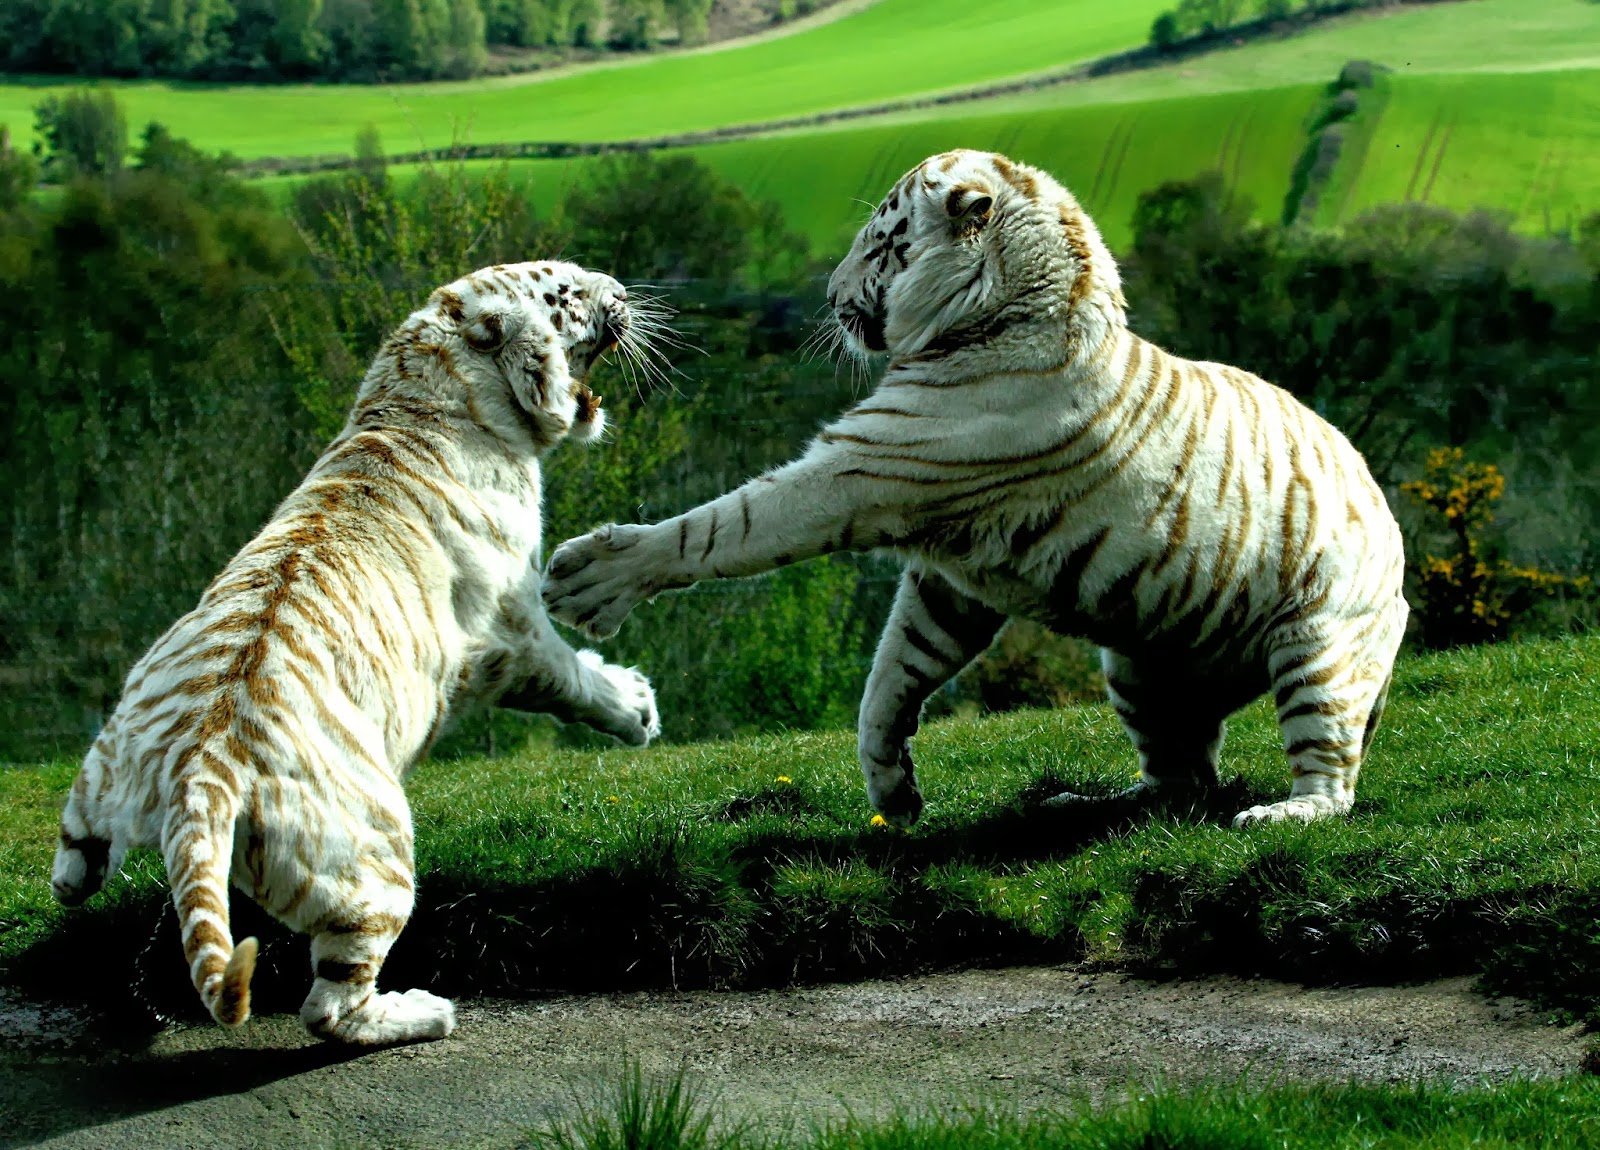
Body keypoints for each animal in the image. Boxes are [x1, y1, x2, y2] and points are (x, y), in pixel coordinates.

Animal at [50, 261, 664, 1045]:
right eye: (569, 292)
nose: (621, 288)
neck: (420, 397)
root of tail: (200, 776)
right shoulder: (512, 629)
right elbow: (572, 678)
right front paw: (637, 708)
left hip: (101, 775)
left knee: (74, 859)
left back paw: (82, 879)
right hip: (375, 859)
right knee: (329, 1006)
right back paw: (424, 1012)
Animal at [542, 149, 1408, 831]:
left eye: (882, 243)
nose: (827, 293)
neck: (1005, 313)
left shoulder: (860, 470)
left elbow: (727, 525)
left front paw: (593, 578)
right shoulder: (949, 578)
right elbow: (889, 677)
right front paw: (893, 792)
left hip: (1318, 646)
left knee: (1329, 777)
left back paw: (1280, 813)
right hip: (1138, 669)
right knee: (1180, 781)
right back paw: (1081, 803)